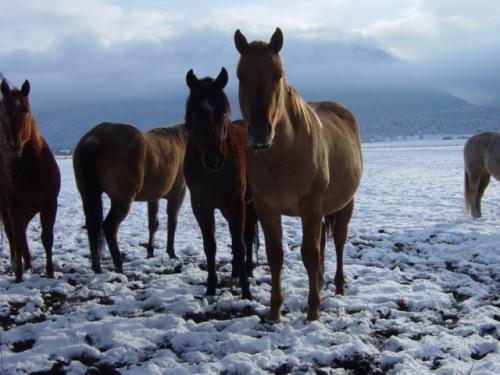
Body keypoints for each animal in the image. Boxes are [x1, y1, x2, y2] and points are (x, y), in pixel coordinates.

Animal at [0, 79, 61, 282]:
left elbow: (47, 238)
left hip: (30, 210)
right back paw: (16, 264)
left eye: (26, 110)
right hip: (6, 209)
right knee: (12, 235)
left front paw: (50, 273)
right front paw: (18, 275)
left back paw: (28, 262)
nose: (14, 147)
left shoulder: (49, 204)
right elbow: (17, 238)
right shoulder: (14, 206)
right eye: (3, 112)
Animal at [72, 123, 186, 274]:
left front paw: (150, 252)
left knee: (92, 227)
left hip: (88, 195)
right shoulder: (177, 194)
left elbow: (153, 224)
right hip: (122, 200)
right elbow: (172, 223)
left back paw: (97, 267)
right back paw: (118, 265)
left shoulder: (153, 198)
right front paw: (172, 253)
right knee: (109, 226)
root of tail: (96, 137)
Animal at [186, 69, 260, 302]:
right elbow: (210, 246)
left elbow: (238, 244)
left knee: (246, 237)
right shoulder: (201, 207)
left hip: (249, 204)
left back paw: (247, 269)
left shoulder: (236, 204)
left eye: (222, 113)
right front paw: (210, 288)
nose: (214, 159)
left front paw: (246, 291)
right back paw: (236, 270)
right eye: (194, 114)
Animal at [234, 27, 364, 322]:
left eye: (278, 74)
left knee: (338, 243)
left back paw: (339, 286)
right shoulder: (266, 209)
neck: (282, 157)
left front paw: (313, 311)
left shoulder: (311, 207)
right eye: (240, 75)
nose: (260, 132)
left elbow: (310, 254)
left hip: (344, 205)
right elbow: (275, 255)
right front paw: (274, 310)